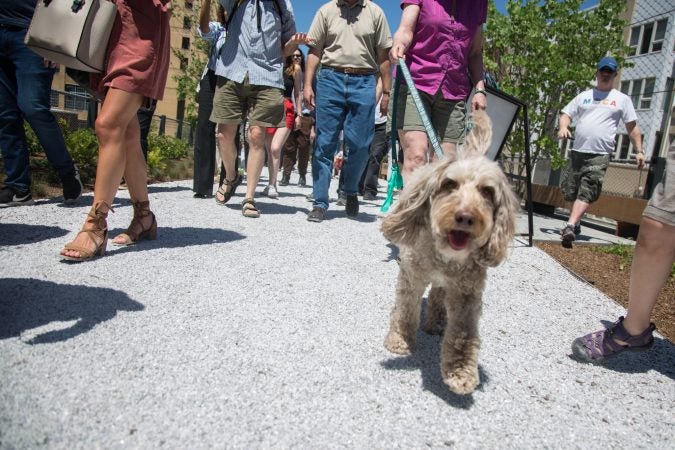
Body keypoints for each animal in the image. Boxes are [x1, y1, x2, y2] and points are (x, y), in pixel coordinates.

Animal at [382, 111, 520, 394]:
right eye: (450, 184)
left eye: (487, 191)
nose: (465, 217)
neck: (444, 256)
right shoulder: (412, 277)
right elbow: (405, 310)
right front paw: (400, 339)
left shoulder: (467, 293)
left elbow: (463, 335)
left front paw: (460, 371)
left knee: (437, 295)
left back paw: (436, 322)